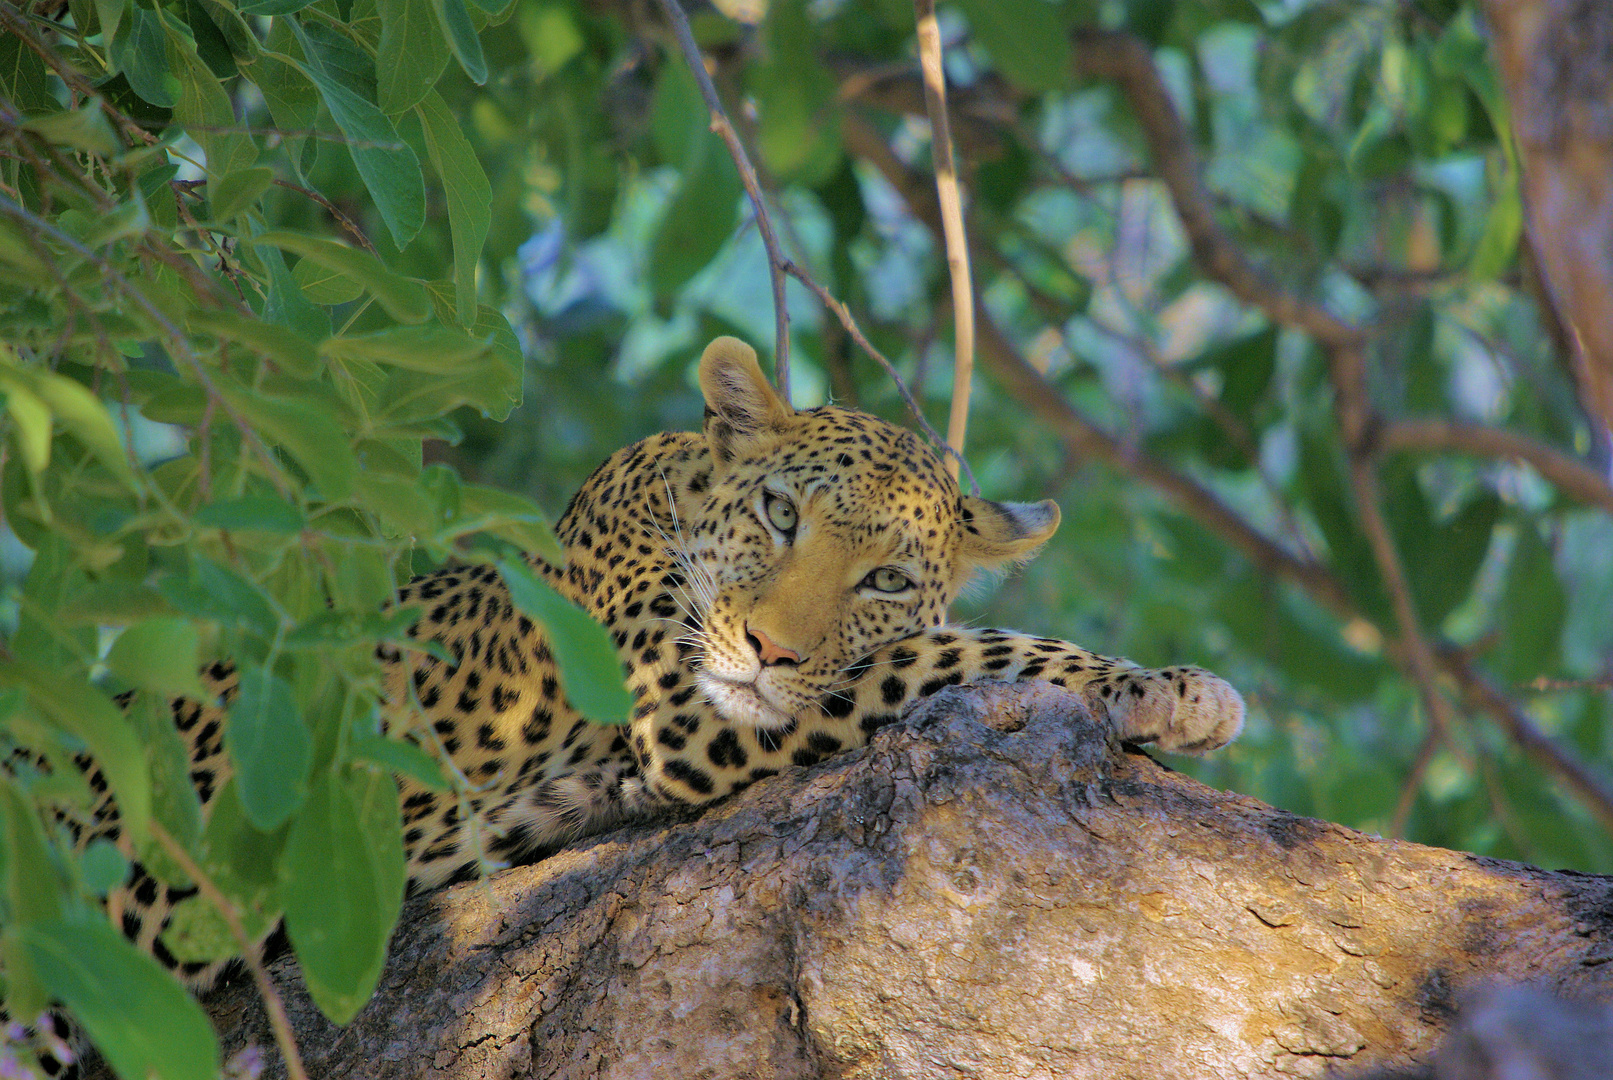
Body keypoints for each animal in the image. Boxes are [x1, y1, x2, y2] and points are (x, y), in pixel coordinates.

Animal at [25, 336, 1238, 1076]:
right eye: (780, 512)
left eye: (886, 577)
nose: (768, 646)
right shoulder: (684, 713)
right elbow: (950, 652)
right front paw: (1171, 689)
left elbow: (917, 646)